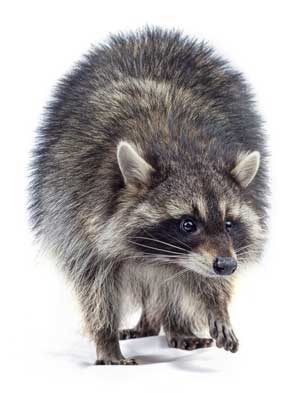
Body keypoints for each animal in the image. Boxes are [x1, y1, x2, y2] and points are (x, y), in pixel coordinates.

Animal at [29, 27, 268, 364]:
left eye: (230, 224)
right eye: (187, 224)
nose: (226, 266)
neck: (181, 150)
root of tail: (148, 35)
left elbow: (197, 280)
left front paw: (217, 304)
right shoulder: (77, 210)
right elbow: (94, 285)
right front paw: (106, 337)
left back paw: (174, 324)